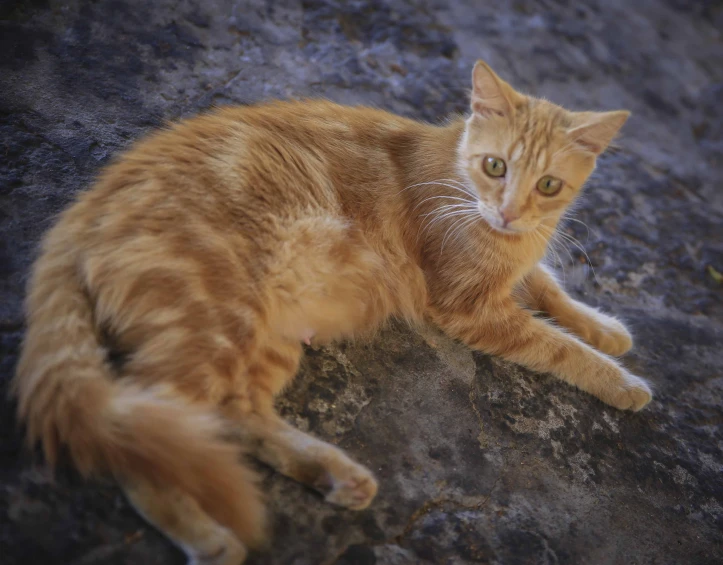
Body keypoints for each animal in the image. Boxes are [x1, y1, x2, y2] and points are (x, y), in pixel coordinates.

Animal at [12, 61, 656, 564]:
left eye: (548, 184)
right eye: (495, 166)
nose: (509, 211)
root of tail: (79, 211)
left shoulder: (515, 265)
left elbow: (549, 288)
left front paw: (606, 327)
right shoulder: (468, 306)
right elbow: (557, 344)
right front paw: (621, 381)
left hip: (266, 332)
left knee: (229, 416)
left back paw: (332, 472)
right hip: (213, 321)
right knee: (144, 436)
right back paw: (208, 535)